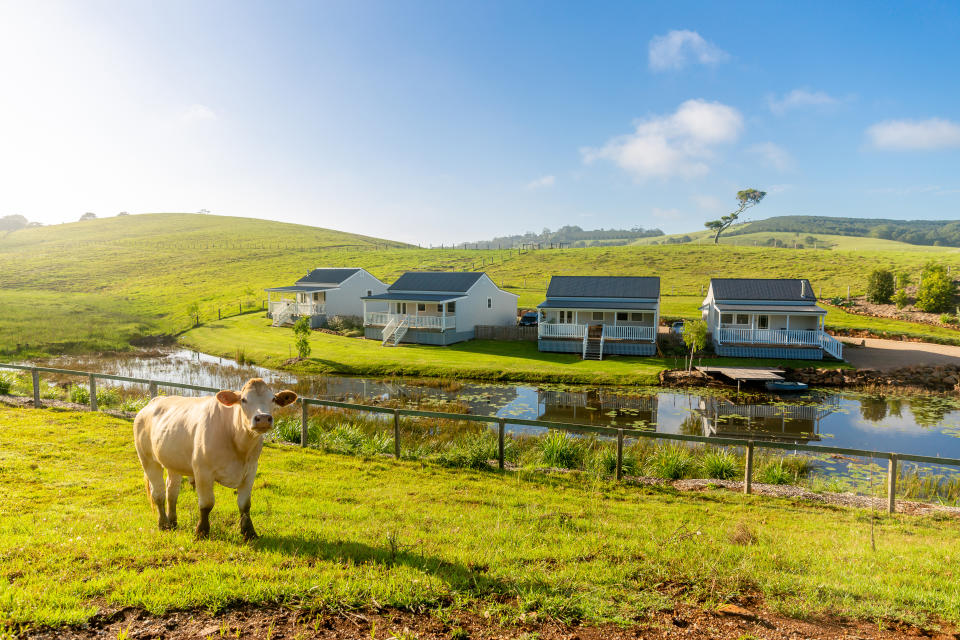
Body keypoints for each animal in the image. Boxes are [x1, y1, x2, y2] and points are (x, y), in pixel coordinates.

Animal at [131, 378, 296, 536]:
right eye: (243, 399)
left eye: (273, 399)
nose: (262, 418)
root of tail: (153, 402)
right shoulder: (203, 471)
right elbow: (206, 504)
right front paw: (202, 531)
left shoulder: (250, 470)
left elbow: (245, 504)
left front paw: (249, 532)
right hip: (148, 460)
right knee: (158, 493)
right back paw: (163, 524)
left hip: (173, 461)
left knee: (172, 491)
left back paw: (172, 522)